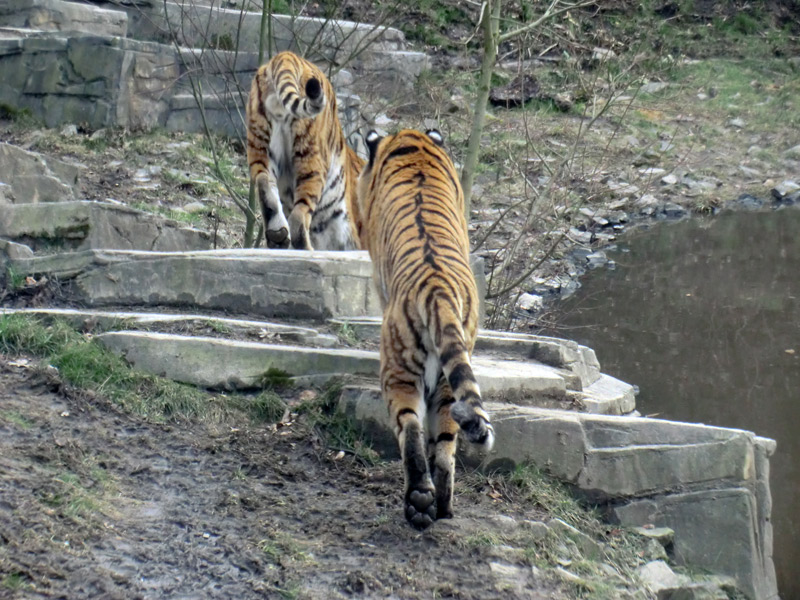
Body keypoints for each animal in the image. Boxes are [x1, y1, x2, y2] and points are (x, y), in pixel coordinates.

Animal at [247, 48, 366, 251]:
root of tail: (287, 56)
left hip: (260, 149)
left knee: (264, 180)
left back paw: (277, 234)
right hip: (311, 159)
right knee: (299, 215)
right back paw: (304, 247)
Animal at [354, 127, 494, 528]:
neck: (414, 146)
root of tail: (438, 290)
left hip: (398, 371)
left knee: (411, 427)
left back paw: (418, 501)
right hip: (450, 382)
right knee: (446, 444)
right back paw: (441, 507)